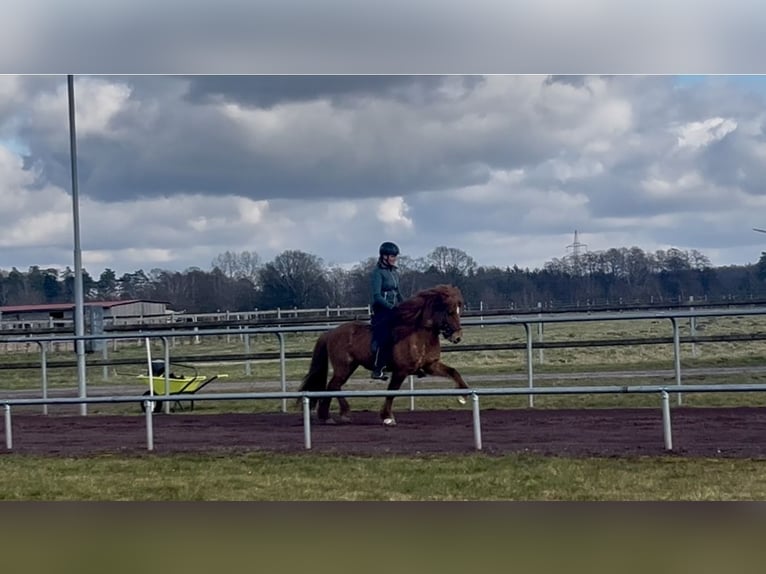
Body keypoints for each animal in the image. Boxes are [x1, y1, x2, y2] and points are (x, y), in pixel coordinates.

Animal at [298, 284, 468, 428]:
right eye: (450, 311)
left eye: (459, 310)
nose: (458, 337)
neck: (419, 334)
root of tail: (330, 332)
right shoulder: (401, 371)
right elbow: (392, 392)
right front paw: (387, 417)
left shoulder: (430, 365)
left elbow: (453, 372)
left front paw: (463, 396)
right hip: (343, 367)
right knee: (333, 385)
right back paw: (336, 415)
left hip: (349, 367)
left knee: (333, 386)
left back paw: (331, 416)